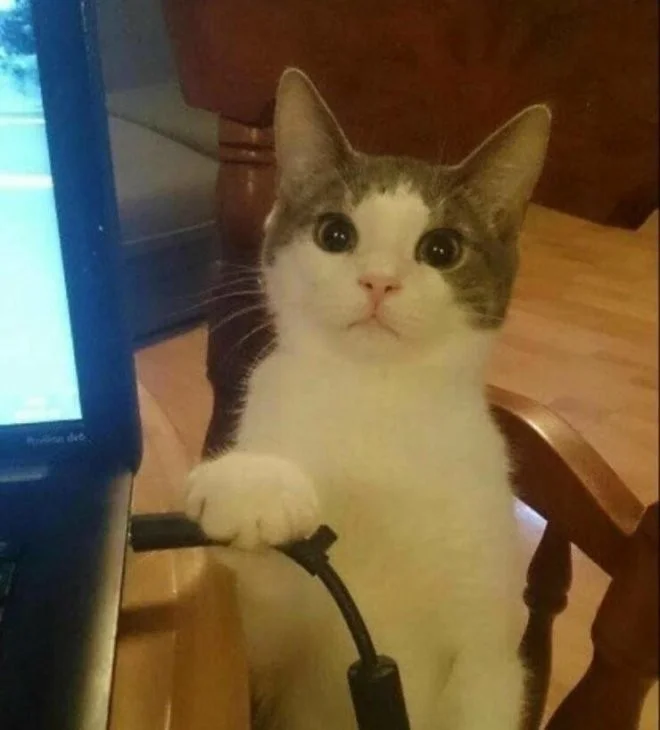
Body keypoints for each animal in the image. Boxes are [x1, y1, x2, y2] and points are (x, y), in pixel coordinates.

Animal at [185, 68, 550, 730]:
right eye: (336, 234)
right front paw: (251, 486)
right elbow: (241, 646)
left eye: (441, 249)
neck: (375, 398)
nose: (378, 281)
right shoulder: (270, 661)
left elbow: (485, 686)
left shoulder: (488, 654)